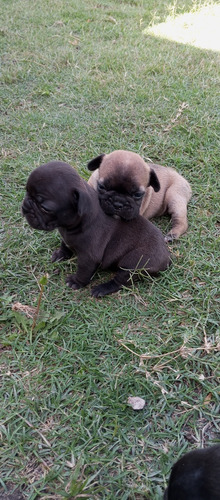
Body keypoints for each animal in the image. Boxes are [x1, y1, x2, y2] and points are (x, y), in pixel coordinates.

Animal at [21, 160, 170, 296]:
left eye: (45, 208)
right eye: (27, 192)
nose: (26, 205)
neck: (71, 225)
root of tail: (167, 258)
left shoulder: (89, 258)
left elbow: (83, 271)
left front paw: (76, 282)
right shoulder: (65, 235)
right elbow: (64, 244)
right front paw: (61, 254)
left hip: (132, 263)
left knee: (121, 281)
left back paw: (102, 289)